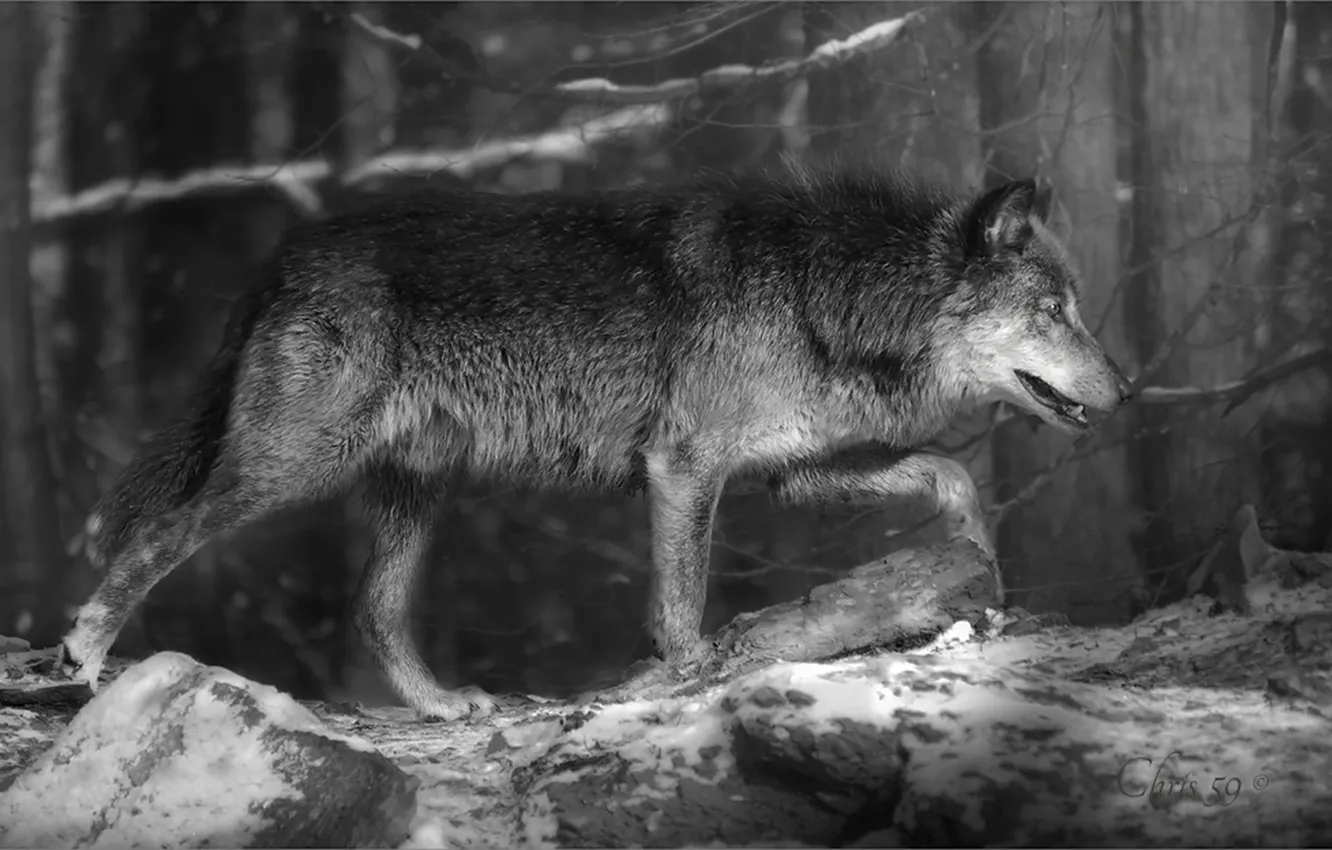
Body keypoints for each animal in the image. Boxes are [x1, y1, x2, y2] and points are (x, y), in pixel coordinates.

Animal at [59, 165, 1132, 721]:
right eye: (1054, 313)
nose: (1124, 388)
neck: (822, 291)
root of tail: (282, 256)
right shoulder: (684, 469)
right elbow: (682, 604)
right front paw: (693, 678)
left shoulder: (787, 474)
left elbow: (947, 472)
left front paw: (979, 560)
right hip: (288, 467)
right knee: (154, 537)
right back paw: (82, 655)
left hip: (413, 491)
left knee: (373, 611)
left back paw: (443, 708)